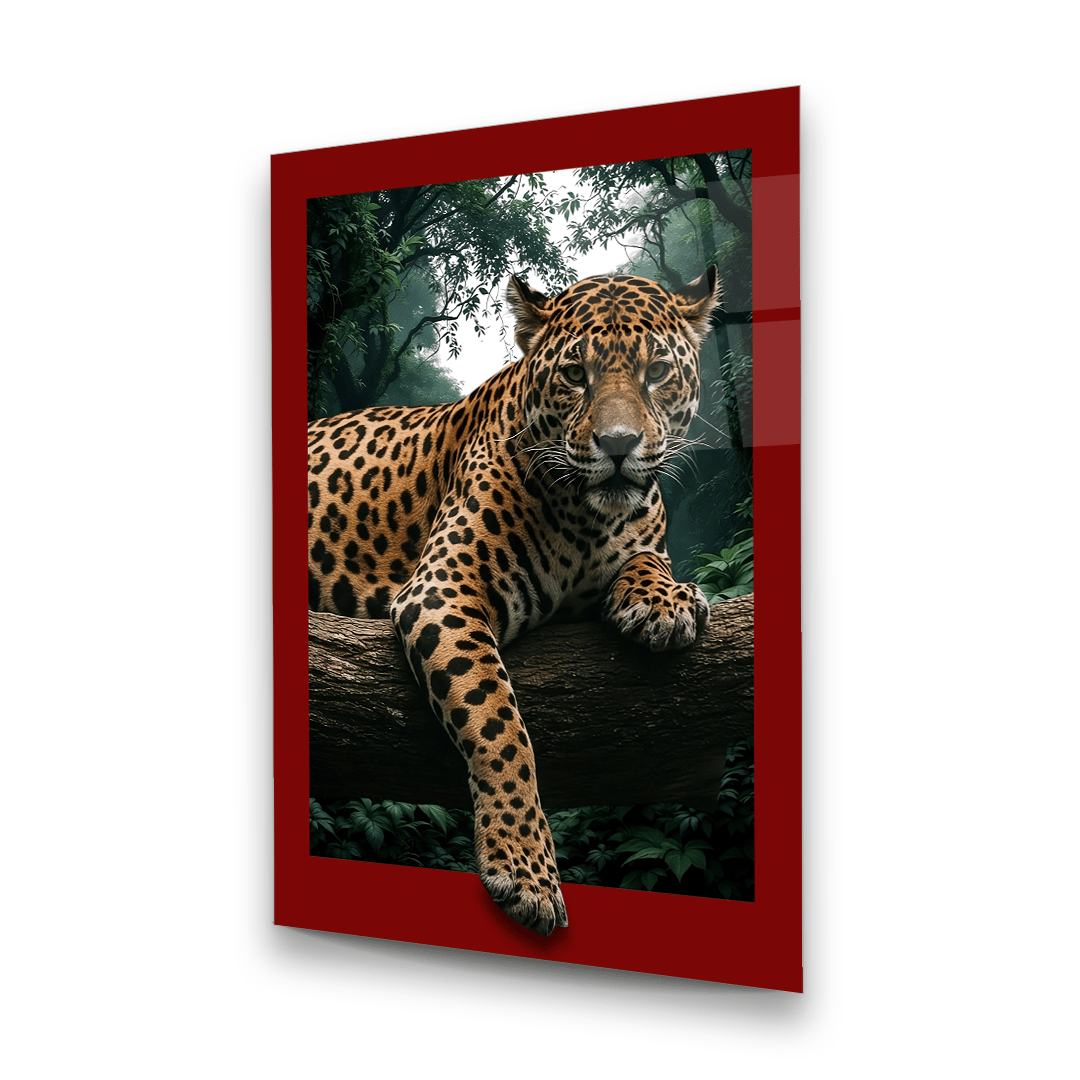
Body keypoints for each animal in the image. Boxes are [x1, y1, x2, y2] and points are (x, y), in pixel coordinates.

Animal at [308, 269, 721, 935]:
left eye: (657, 372)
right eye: (575, 374)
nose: (619, 445)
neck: (586, 521)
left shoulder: (640, 531)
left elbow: (650, 556)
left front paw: (664, 602)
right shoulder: (443, 587)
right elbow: (499, 723)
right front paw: (526, 869)